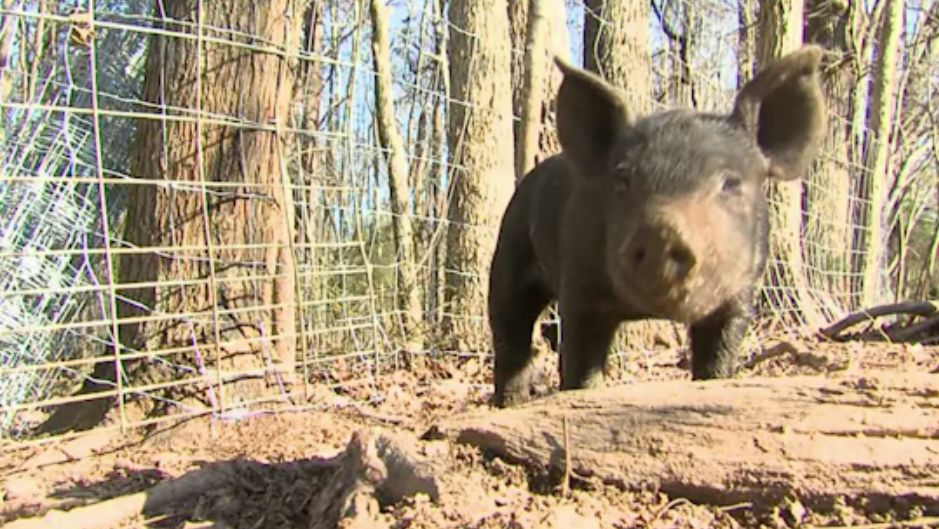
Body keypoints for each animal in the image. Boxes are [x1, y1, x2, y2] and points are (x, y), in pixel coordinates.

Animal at [488, 45, 826, 408]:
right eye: (623, 179)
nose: (661, 230)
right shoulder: (579, 286)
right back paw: (510, 403)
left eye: (731, 182)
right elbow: (581, 364)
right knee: (510, 332)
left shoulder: (741, 293)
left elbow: (719, 357)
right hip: (508, 252)